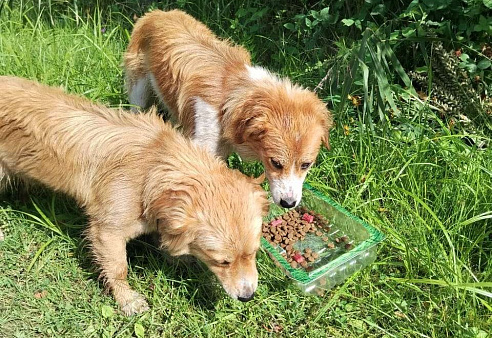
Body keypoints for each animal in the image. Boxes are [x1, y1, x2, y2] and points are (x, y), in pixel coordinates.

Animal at [0, 76, 270, 316]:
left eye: (254, 253)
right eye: (222, 262)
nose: (248, 297)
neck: (155, 165)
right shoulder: (106, 232)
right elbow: (119, 269)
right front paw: (127, 300)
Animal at [123, 8, 334, 209]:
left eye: (306, 164)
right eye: (276, 163)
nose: (289, 204)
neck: (232, 99)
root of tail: (158, 13)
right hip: (139, 92)